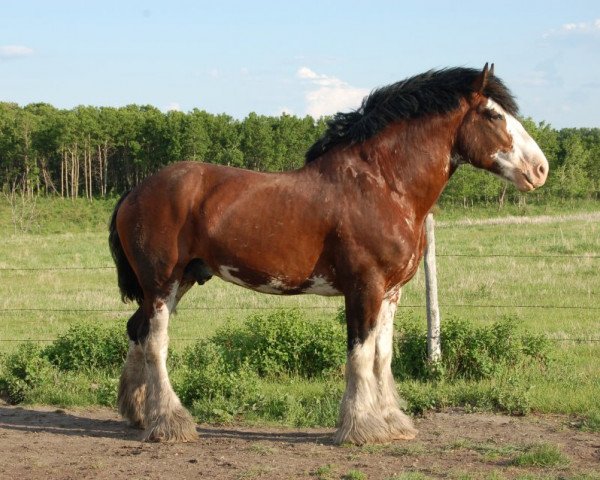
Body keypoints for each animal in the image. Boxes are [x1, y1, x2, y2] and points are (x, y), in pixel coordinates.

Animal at [108, 64, 548, 446]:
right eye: (493, 114)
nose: (540, 169)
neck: (383, 185)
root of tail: (135, 192)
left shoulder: (391, 293)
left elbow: (382, 356)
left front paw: (392, 421)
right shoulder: (364, 288)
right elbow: (359, 355)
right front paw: (361, 428)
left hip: (180, 281)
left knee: (138, 331)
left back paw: (140, 414)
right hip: (162, 283)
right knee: (156, 342)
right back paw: (171, 423)